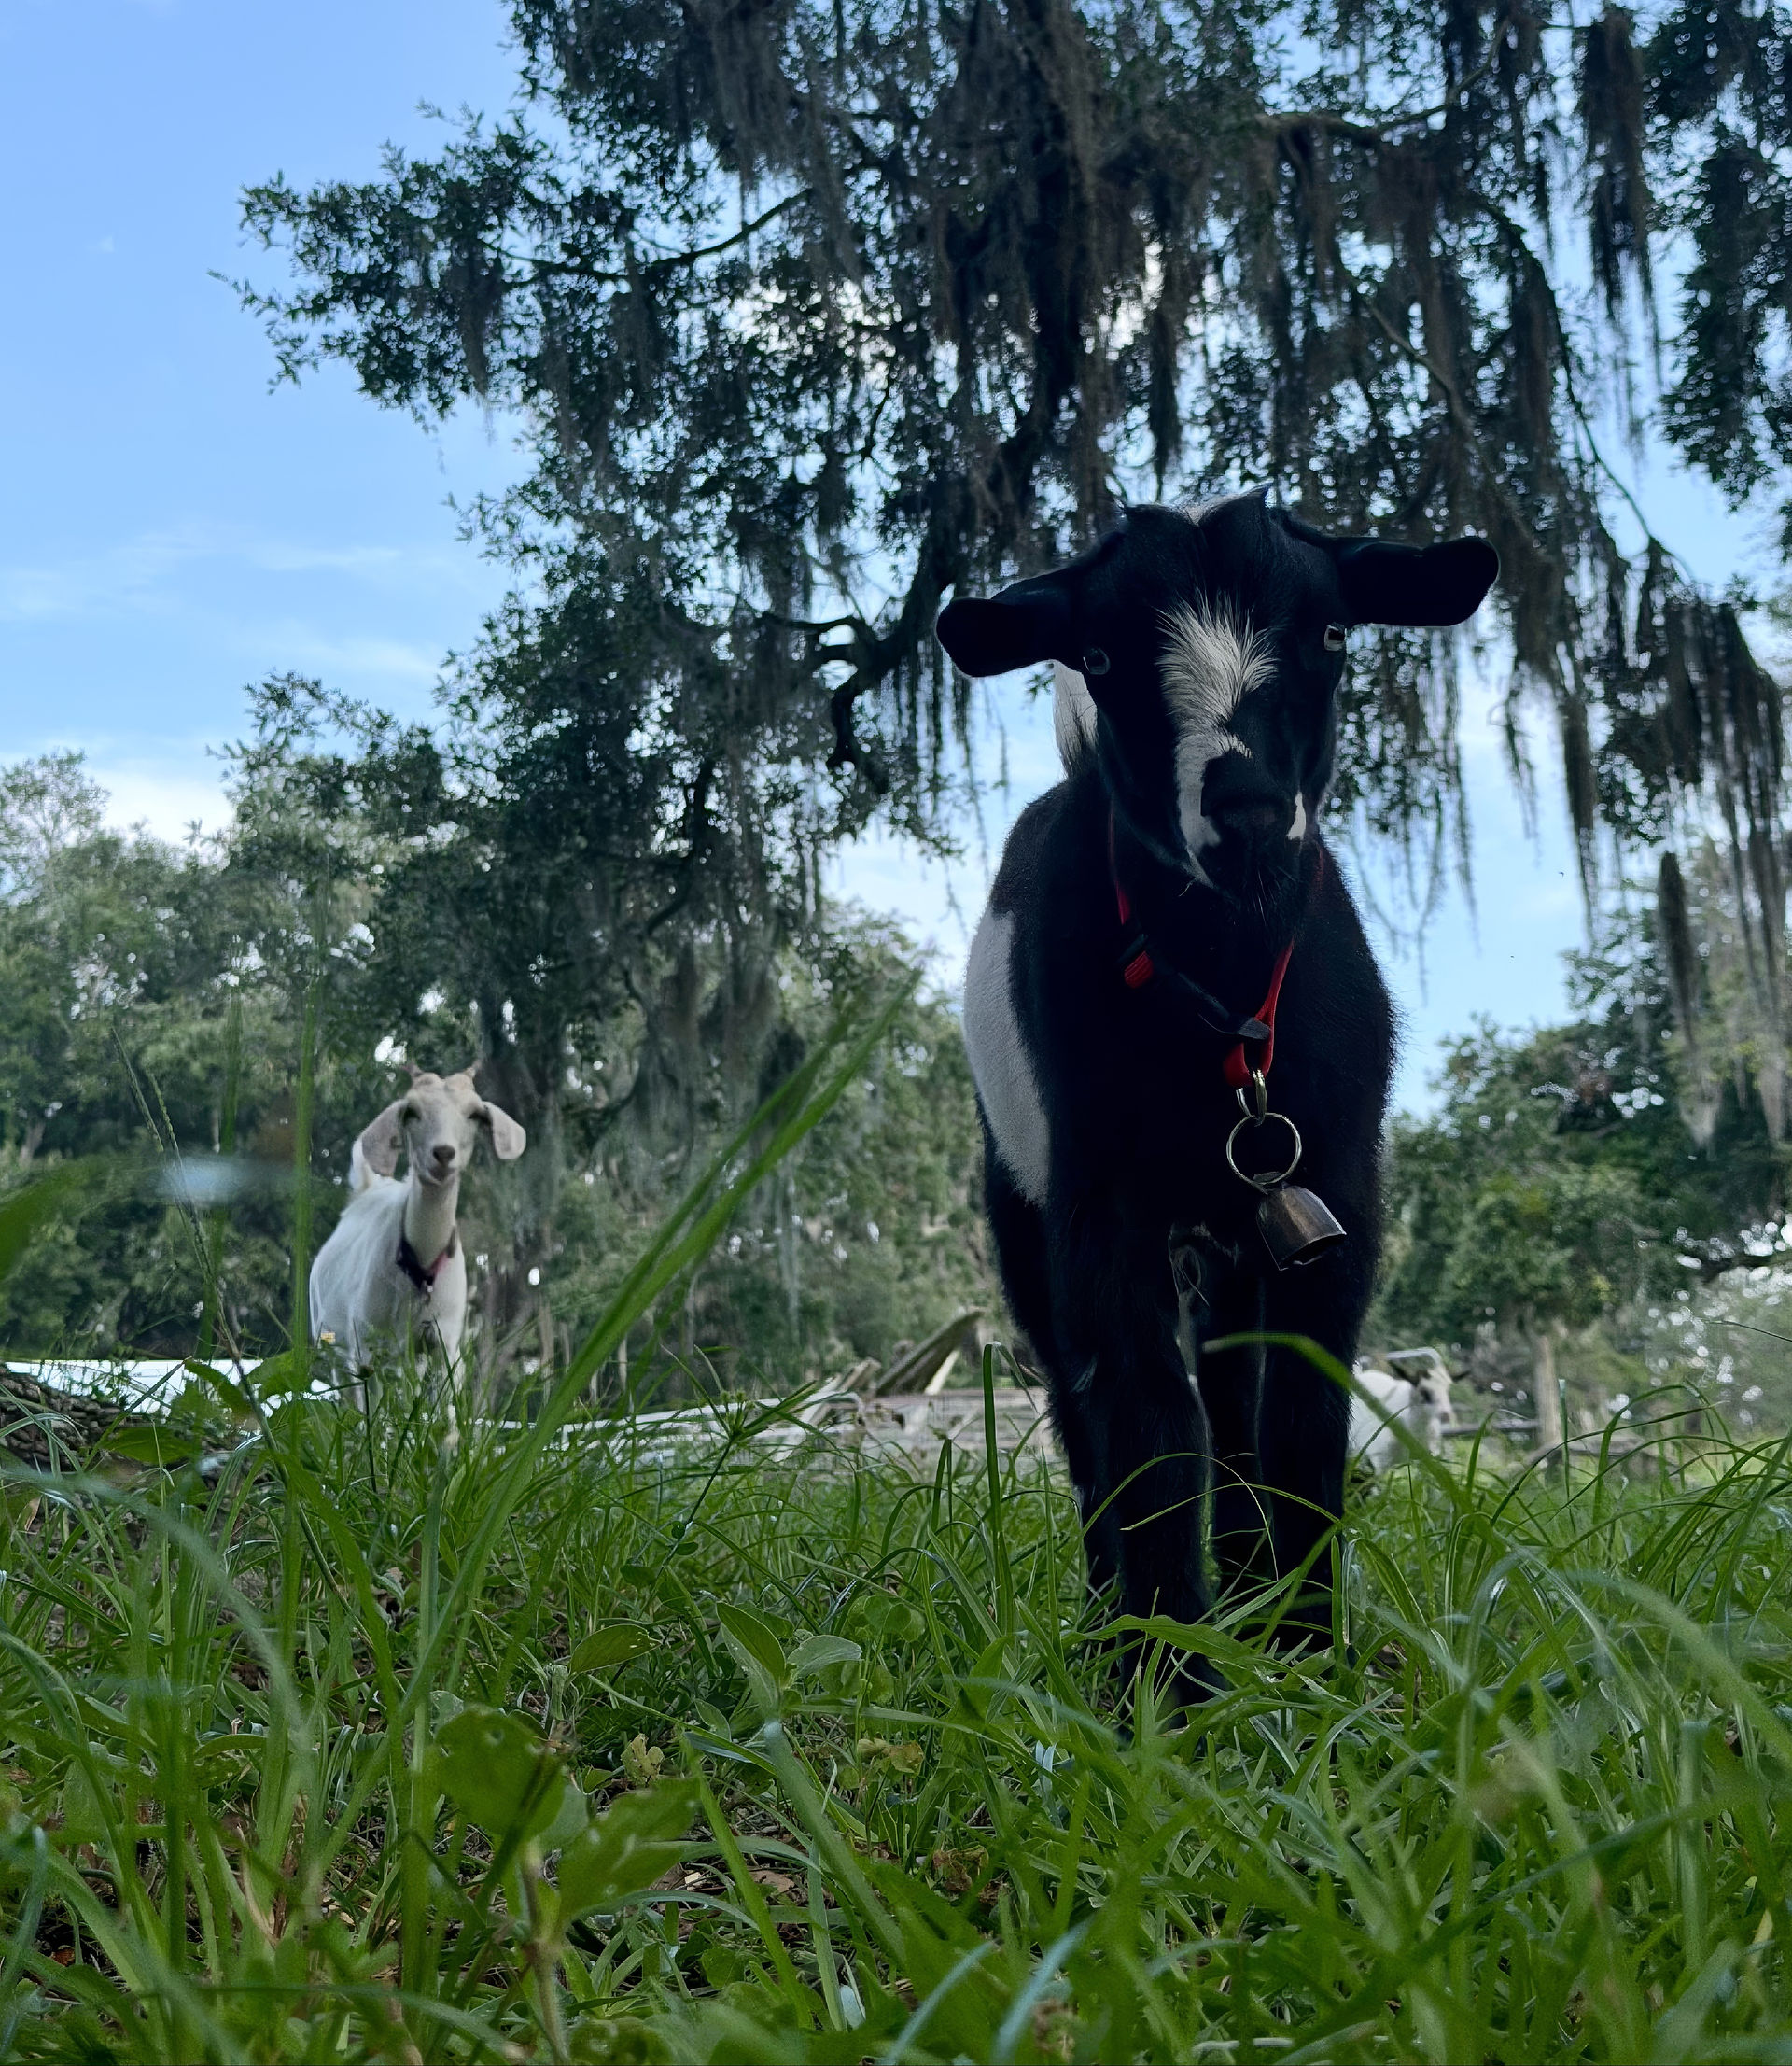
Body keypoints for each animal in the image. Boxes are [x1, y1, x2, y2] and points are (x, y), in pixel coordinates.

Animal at [308, 1065, 526, 1377]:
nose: (443, 1153)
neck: (420, 1269)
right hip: (334, 1344)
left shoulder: (444, 1342)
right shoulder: (367, 1342)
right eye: (411, 1112)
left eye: (474, 1114)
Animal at [936, 490, 1496, 1700]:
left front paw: (1310, 1651)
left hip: (1246, 1235)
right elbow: (1149, 1422)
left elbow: (1301, 1421)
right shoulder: (1101, 1204)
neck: (1224, 1007)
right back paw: (1118, 1612)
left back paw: (1249, 1595)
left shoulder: (1332, 1191)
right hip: (1023, 1200)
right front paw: (1168, 1681)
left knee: (1236, 1396)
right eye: (1100, 655)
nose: (1241, 811)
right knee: (1082, 1405)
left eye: (1330, 632)